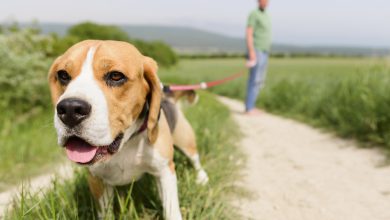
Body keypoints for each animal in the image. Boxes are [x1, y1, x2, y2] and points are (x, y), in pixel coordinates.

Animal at [48, 40, 209, 220]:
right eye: (63, 75)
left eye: (116, 76)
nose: (69, 109)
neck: (125, 144)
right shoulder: (96, 180)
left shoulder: (164, 170)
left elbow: (171, 210)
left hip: (186, 141)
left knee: (195, 159)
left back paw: (202, 177)